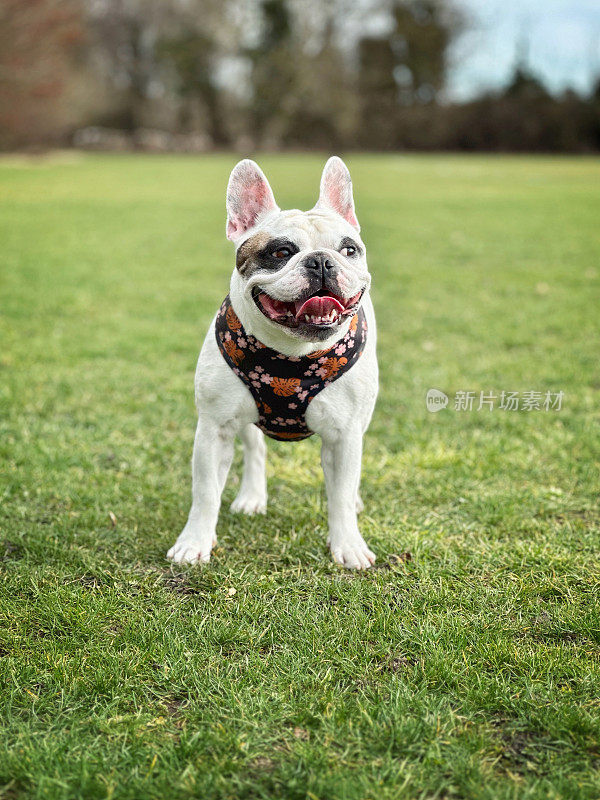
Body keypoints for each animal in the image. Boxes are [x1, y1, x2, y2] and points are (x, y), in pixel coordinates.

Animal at [166, 156, 378, 568]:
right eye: (280, 253)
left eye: (349, 250)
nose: (321, 261)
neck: (292, 356)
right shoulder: (213, 430)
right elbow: (205, 493)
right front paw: (194, 542)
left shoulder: (344, 437)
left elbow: (341, 496)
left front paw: (347, 544)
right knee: (255, 449)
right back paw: (251, 497)